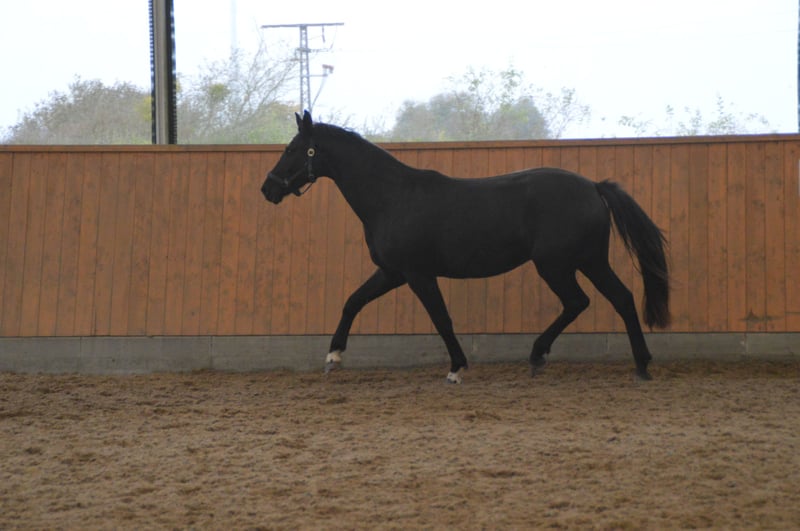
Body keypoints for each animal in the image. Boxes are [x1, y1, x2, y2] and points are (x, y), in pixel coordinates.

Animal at [262, 111, 670, 383]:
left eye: (294, 148)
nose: (268, 189)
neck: (392, 198)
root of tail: (593, 187)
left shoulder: (417, 274)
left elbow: (441, 319)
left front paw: (456, 368)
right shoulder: (392, 272)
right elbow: (353, 301)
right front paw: (333, 357)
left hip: (556, 265)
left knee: (578, 302)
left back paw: (540, 355)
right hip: (589, 261)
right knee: (622, 299)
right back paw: (641, 364)